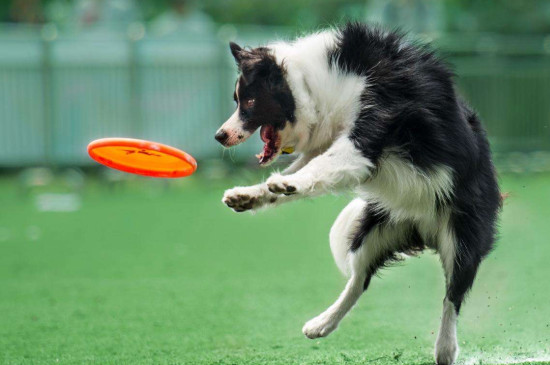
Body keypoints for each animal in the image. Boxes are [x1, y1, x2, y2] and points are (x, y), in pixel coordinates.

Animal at [216, 22, 504, 364]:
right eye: (238, 100)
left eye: (248, 102)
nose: (219, 136)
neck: (318, 83)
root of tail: (423, 230)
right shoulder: (332, 143)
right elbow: (303, 170)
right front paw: (250, 194)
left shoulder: (370, 131)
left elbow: (318, 167)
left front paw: (288, 184)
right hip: (374, 231)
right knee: (359, 279)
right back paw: (321, 324)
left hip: (462, 236)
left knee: (453, 295)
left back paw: (445, 348)